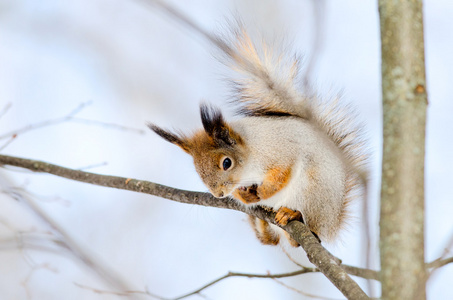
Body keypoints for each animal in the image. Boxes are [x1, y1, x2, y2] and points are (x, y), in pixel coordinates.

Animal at [148, 25, 368, 246]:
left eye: (226, 163)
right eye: (196, 169)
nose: (219, 194)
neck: (249, 156)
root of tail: (332, 223)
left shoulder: (280, 151)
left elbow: (282, 174)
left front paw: (263, 192)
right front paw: (246, 196)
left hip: (314, 192)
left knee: (304, 230)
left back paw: (291, 214)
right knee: (270, 240)